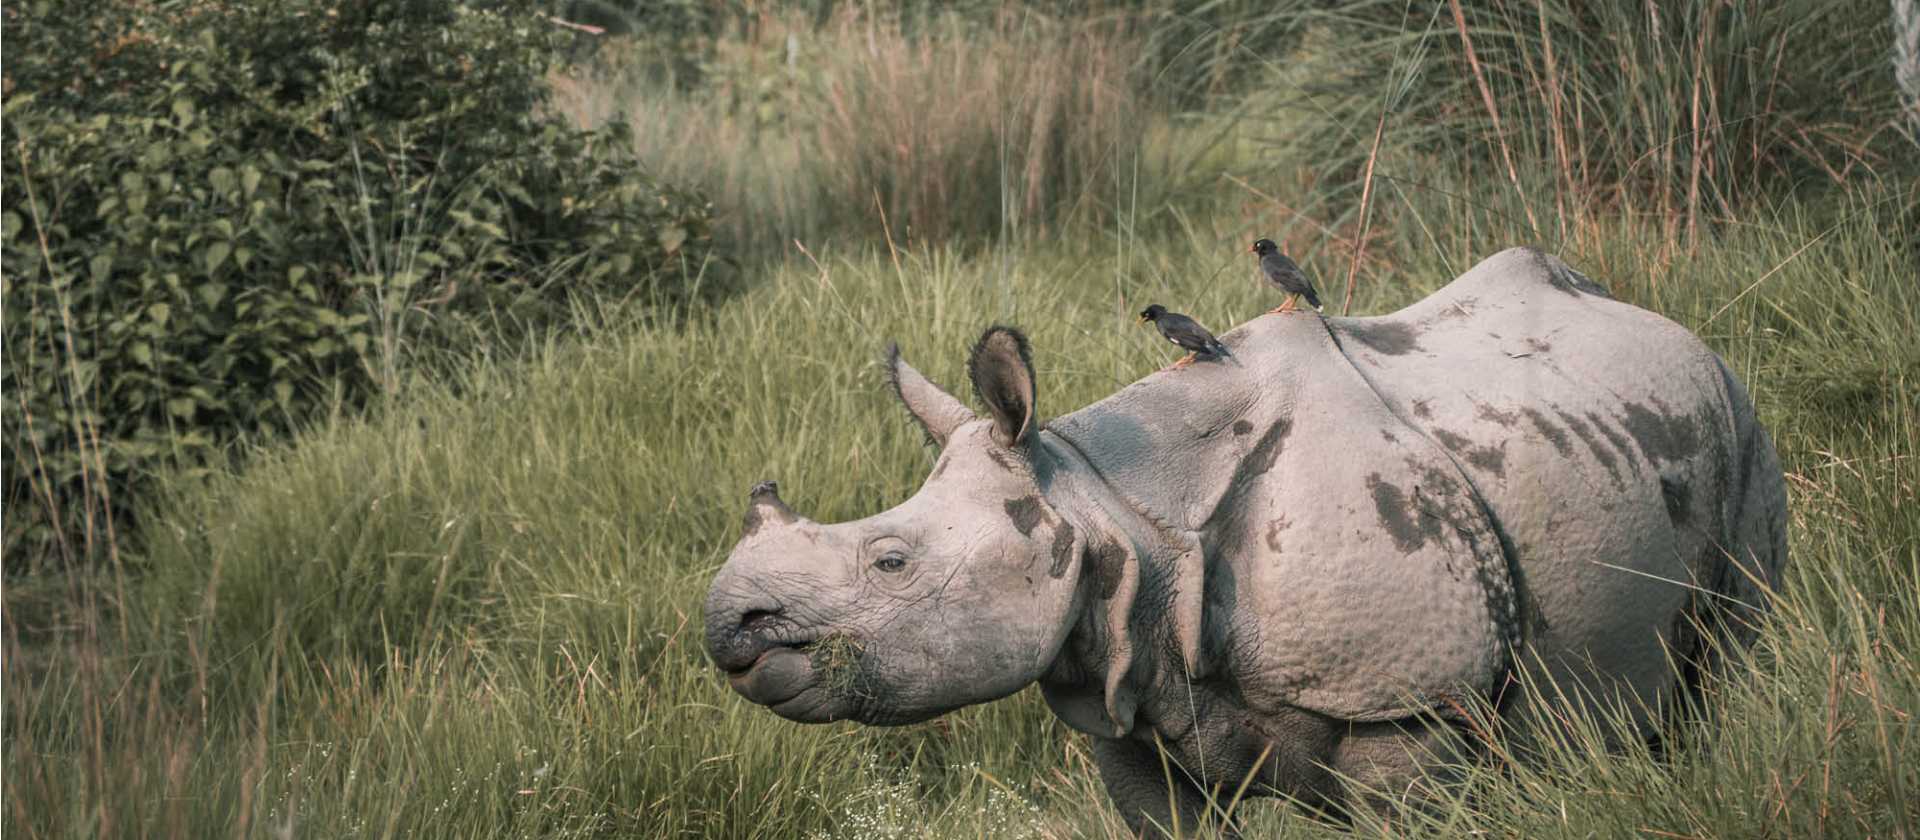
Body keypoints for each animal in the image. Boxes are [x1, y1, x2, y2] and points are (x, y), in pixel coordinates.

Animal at [702, 247, 1788, 835]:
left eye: (892, 561)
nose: (728, 625)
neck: (1111, 508)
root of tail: (1671, 326)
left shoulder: (1404, 704)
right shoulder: (1128, 704)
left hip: (1738, 413)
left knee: (1726, 663)